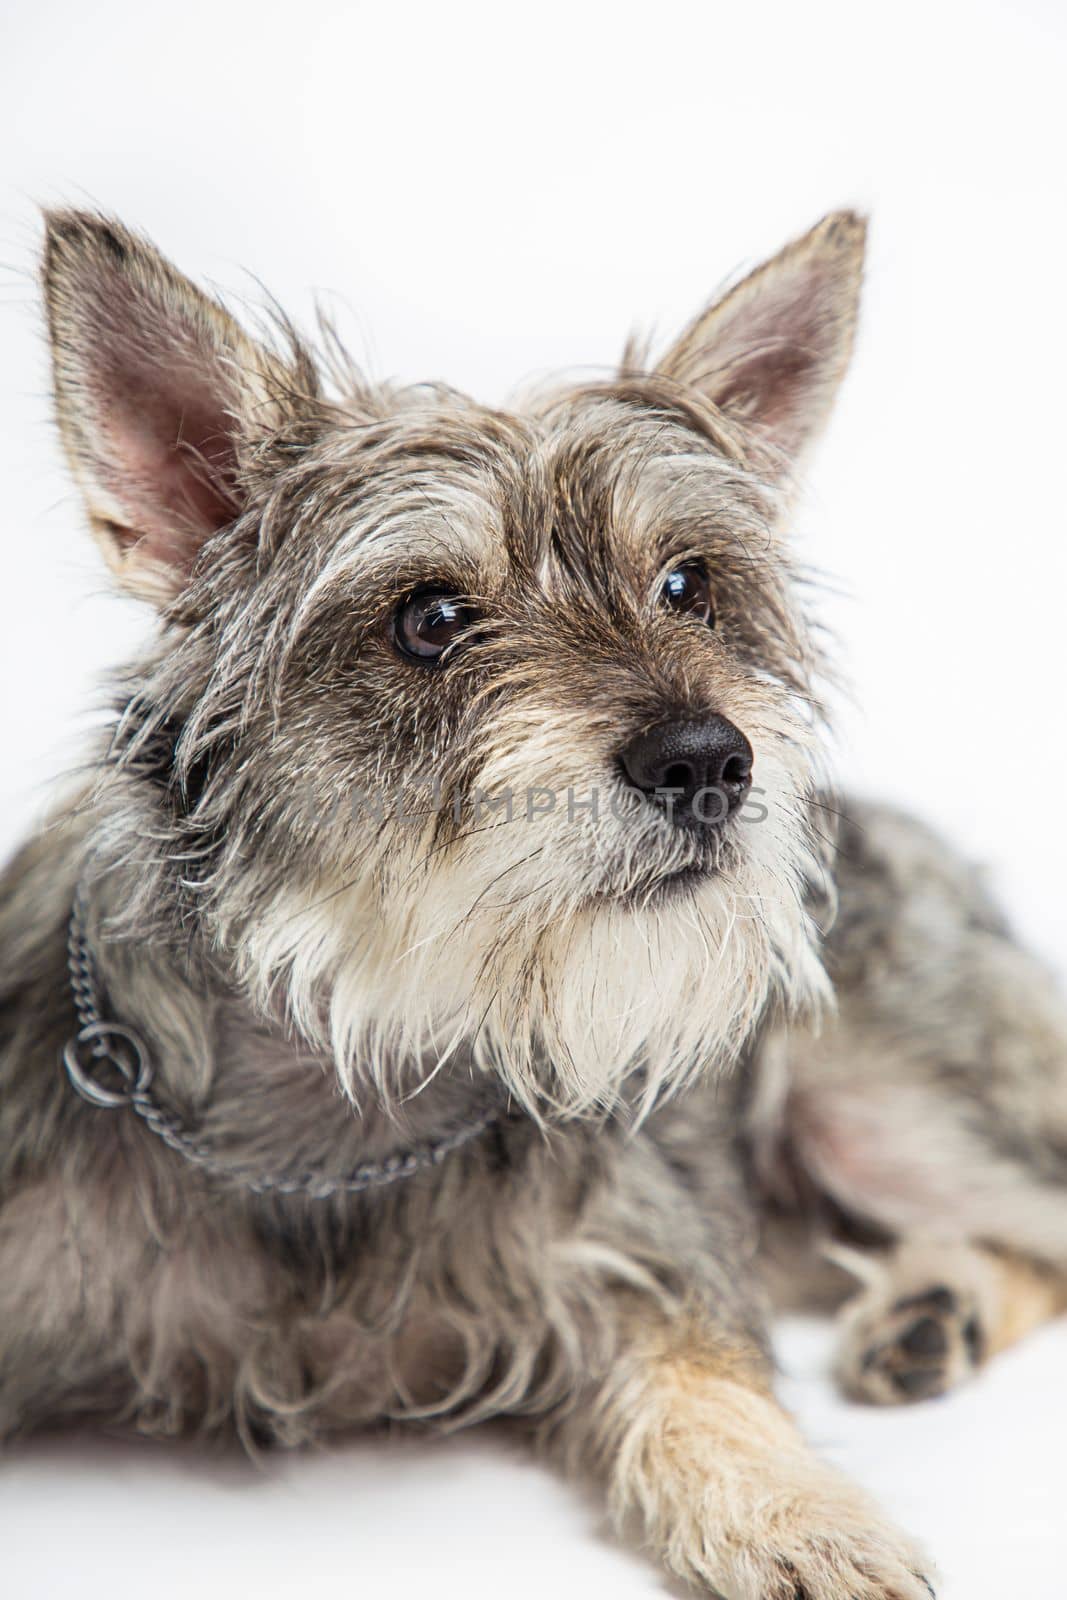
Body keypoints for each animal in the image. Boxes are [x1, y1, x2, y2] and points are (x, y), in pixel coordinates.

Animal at [4, 212, 1062, 1600]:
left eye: (687, 584)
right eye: (430, 618)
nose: (707, 760)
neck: (349, 1075)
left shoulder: (655, 1269)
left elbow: (712, 1395)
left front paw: (800, 1517)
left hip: (892, 1113)